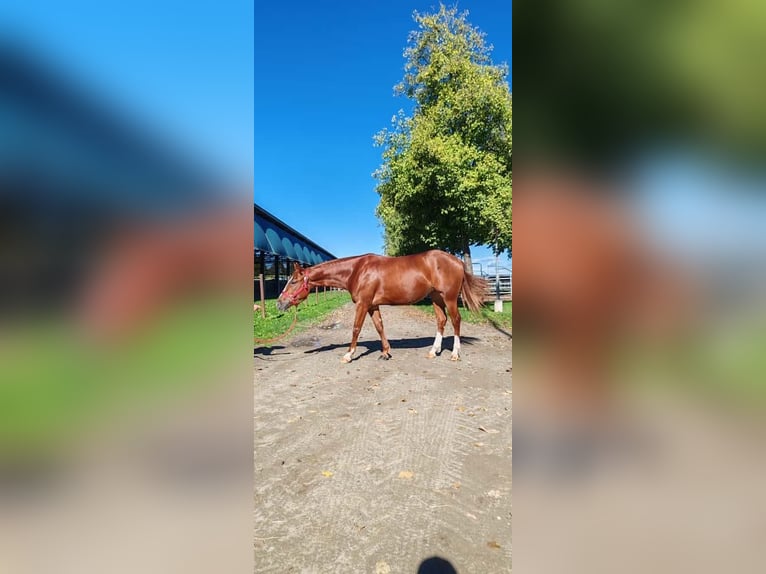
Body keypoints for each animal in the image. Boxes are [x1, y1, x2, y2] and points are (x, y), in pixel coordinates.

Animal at [276, 250, 489, 363]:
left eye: (293, 281)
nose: (279, 303)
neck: (357, 270)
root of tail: (457, 261)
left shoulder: (362, 304)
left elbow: (356, 328)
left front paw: (348, 354)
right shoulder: (372, 305)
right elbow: (379, 327)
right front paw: (386, 352)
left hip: (450, 298)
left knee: (456, 320)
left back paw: (454, 354)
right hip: (436, 298)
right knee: (441, 320)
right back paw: (433, 351)